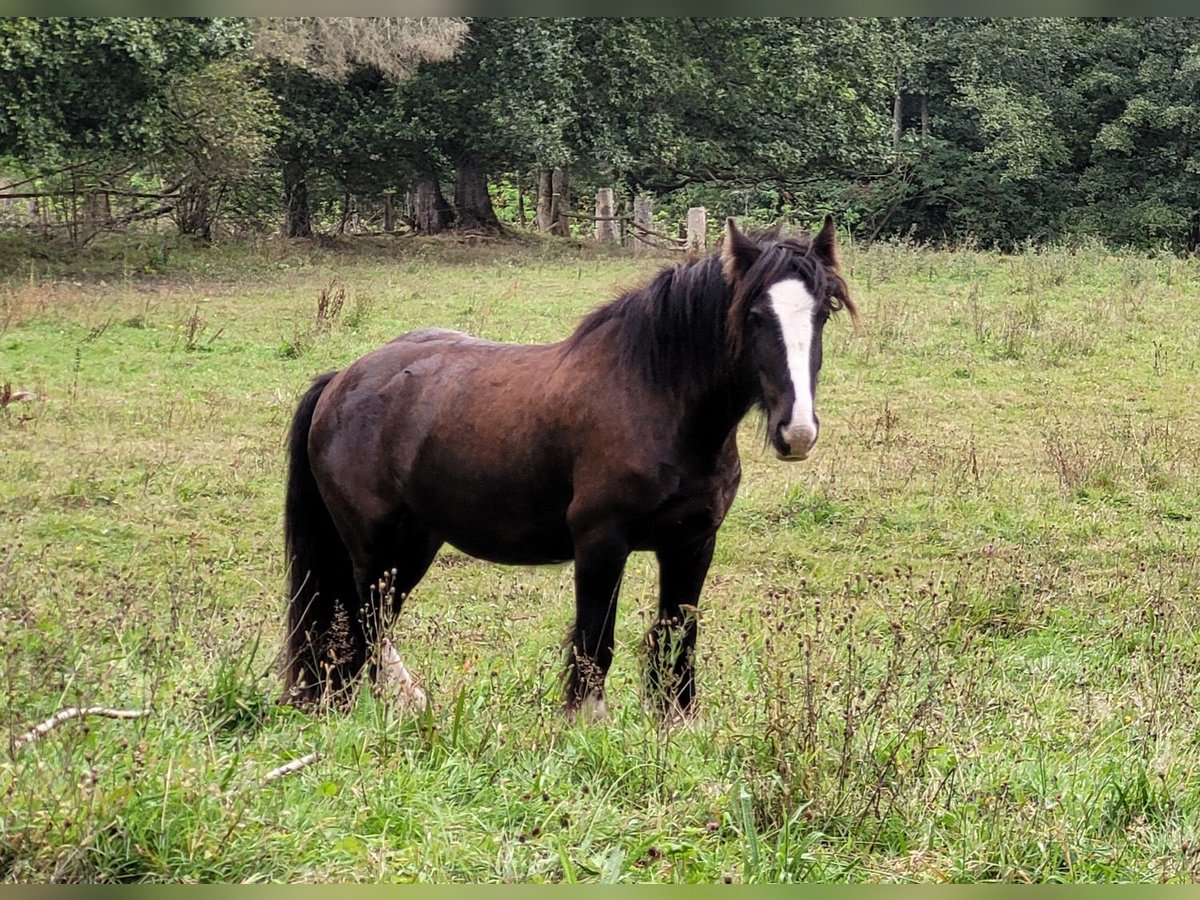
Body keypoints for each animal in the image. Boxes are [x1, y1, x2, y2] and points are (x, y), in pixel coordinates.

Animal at [285, 222, 859, 724]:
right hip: (376, 549)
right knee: (363, 626)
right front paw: (586, 723)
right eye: (756, 314)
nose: (797, 431)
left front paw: (675, 724)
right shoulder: (601, 543)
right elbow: (594, 641)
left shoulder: (693, 544)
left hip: (415, 544)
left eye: (824, 312)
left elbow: (677, 639)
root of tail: (341, 380)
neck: (656, 400)